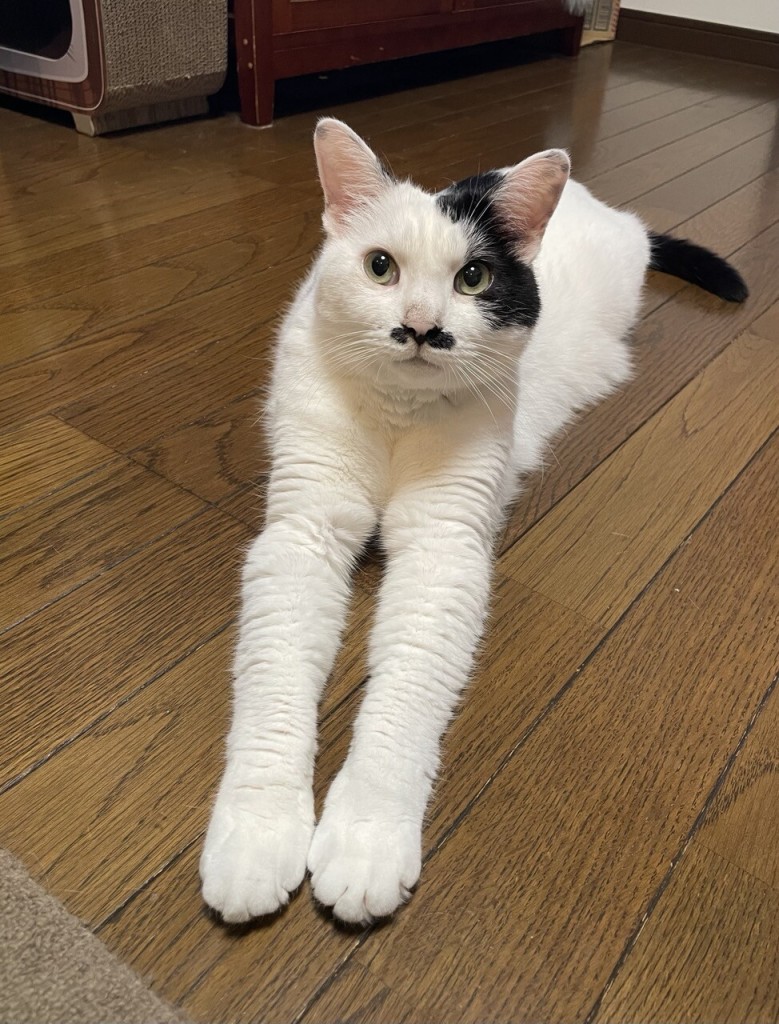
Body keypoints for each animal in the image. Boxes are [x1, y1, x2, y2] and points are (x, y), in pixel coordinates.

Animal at [200, 116, 749, 925]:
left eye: (474, 280)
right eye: (380, 267)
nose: (421, 328)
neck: (398, 416)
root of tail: (598, 201)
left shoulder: (442, 552)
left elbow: (402, 703)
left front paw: (365, 844)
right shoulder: (303, 535)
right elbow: (273, 692)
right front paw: (256, 837)